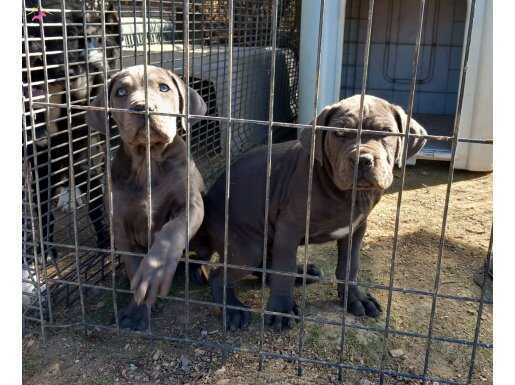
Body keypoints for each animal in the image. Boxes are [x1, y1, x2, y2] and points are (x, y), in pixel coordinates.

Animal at [88, 64, 208, 328]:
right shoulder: (121, 226)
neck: (148, 160)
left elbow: (172, 231)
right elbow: (134, 267)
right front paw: (137, 311)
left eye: (163, 88)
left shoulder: (192, 204)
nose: (143, 107)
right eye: (121, 91)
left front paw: (156, 268)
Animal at [192, 94, 428, 330]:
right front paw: (281, 310)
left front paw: (355, 298)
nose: (362, 160)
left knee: (264, 268)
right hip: (248, 246)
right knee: (221, 275)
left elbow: (350, 266)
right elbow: (284, 270)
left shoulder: (357, 228)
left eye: (386, 132)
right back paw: (233, 309)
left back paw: (302, 274)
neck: (347, 195)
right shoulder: (289, 228)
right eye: (339, 133)